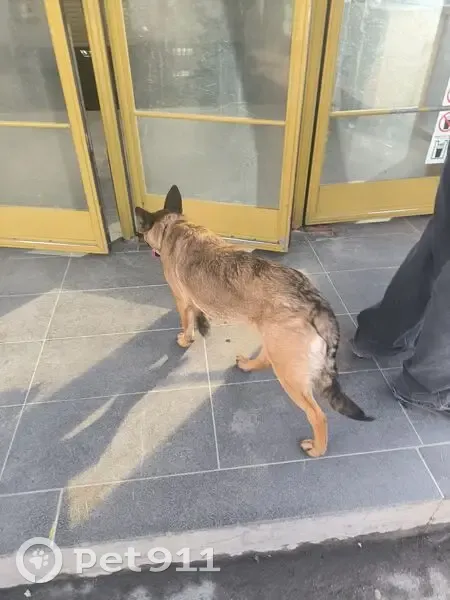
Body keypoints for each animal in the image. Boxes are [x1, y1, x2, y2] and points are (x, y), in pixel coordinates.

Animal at [136, 185, 373, 457]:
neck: (173, 225)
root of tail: (314, 301)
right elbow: (198, 315)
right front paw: (202, 325)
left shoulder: (181, 300)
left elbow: (187, 323)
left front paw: (186, 339)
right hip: (275, 344)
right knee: (264, 360)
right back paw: (248, 365)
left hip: (289, 373)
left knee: (317, 415)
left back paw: (317, 448)